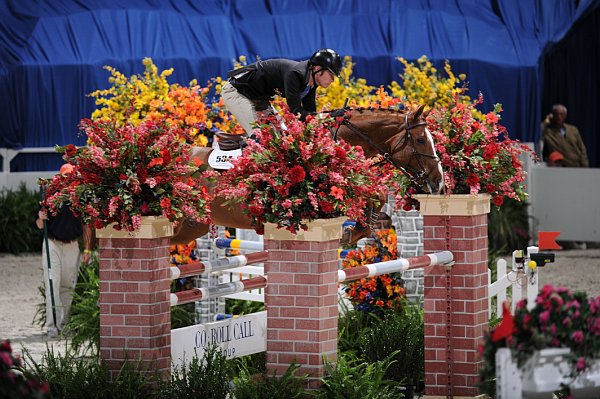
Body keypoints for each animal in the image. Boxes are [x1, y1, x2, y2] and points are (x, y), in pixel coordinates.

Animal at [171, 104, 442, 245]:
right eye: (420, 140)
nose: (438, 181)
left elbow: (376, 194)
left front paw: (362, 229)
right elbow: (372, 193)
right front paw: (351, 231)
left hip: (193, 227)